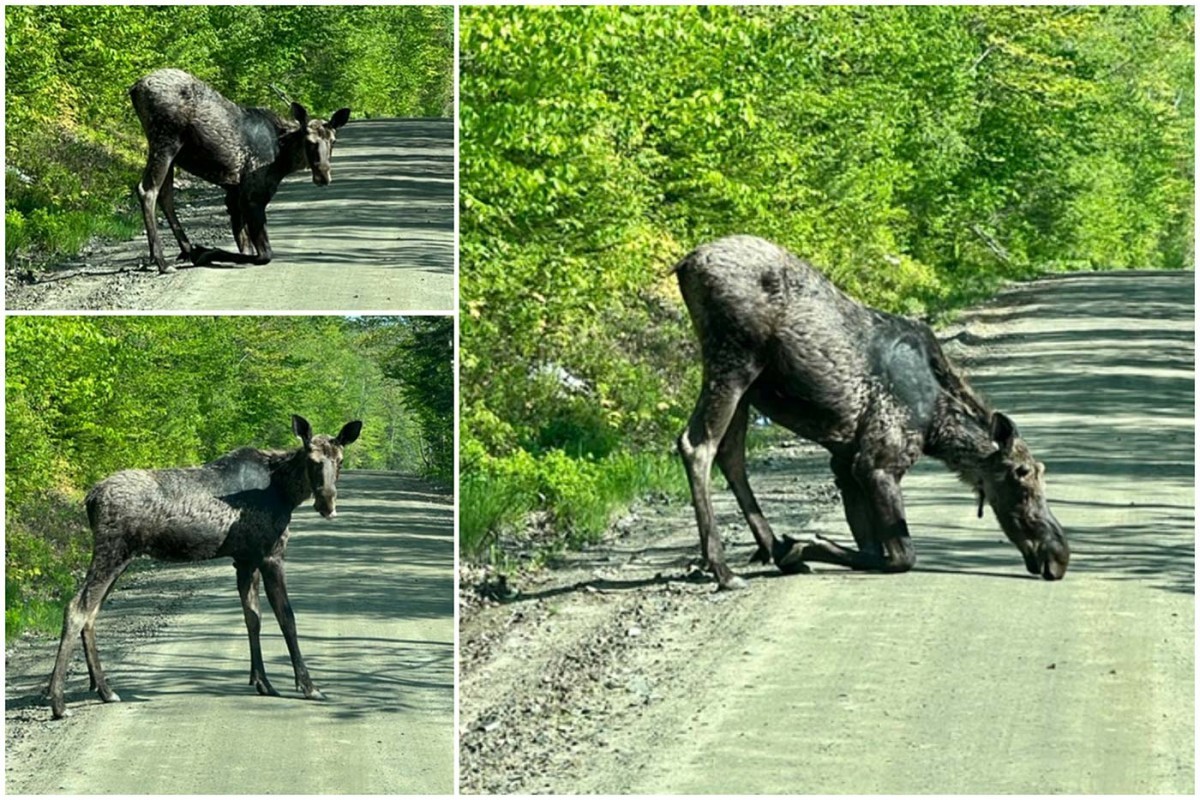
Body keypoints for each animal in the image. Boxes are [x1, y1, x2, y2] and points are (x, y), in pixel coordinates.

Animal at [46, 417, 362, 724]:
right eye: (313, 460)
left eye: (340, 460)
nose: (328, 505)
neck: (286, 492)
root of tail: (90, 498)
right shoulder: (270, 555)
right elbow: (287, 618)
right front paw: (309, 686)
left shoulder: (245, 559)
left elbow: (253, 618)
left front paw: (262, 681)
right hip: (113, 551)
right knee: (76, 608)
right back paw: (59, 702)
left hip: (122, 558)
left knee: (91, 613)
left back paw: (104, 690)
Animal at [129, 67, 350, 272]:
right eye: (309, 141)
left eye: (333, 141)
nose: (323, 175)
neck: (283, 157)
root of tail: (135, 88)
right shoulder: (252, 197)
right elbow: (264, 255)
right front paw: (206, 253)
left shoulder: (234, 197)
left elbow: (246, 248)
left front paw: (203, 252)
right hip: (166, 141)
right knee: (148, 190)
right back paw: (162, 261)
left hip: (170, 152)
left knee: (165, 195)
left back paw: (184, 250)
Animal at [672, 235, 1075, 592]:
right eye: (1021, 474)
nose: (1059, 555)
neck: (937, 426)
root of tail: (686, 263)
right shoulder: (876, 463)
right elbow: (902, 556)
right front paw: (803, 545)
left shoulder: (845, 464)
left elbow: (869, 546)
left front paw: (795, 548)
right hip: (734, 360)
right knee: (697, 444)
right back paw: (724, 570)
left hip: (747, 386)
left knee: (730, 455)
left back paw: (769, 547)